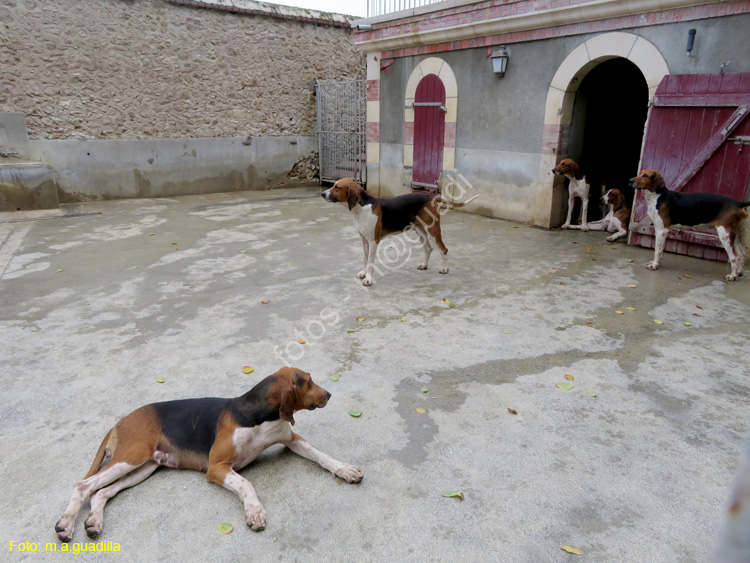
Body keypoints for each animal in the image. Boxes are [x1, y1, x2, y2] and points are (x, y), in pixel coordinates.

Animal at [54, 368, 362, 544]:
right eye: (307, 381)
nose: (329, 394)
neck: (258, 418)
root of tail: (120, 421)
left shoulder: (292, 440)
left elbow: (321, 455)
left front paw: (345, 469)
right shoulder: (217, 467)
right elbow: (246, 484)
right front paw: (254, 511)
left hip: (144, 466)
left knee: (100, 493)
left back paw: (93, 522)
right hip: (133, 455)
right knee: (82, 486)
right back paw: (66, 524)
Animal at [320, 178, 468, 286]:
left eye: (337, 187)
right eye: (333, 185)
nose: (322, 194)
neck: (362, 208)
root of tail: (431, 198)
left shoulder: (373, 241)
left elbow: (370, 261)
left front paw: (368, 279)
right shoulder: (364, 240)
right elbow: (365, 259)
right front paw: (363, 273)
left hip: (432, 230)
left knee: (443, 249)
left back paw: (445, 269)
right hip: (419, 229)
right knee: (428, 248)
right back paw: (424, 265)